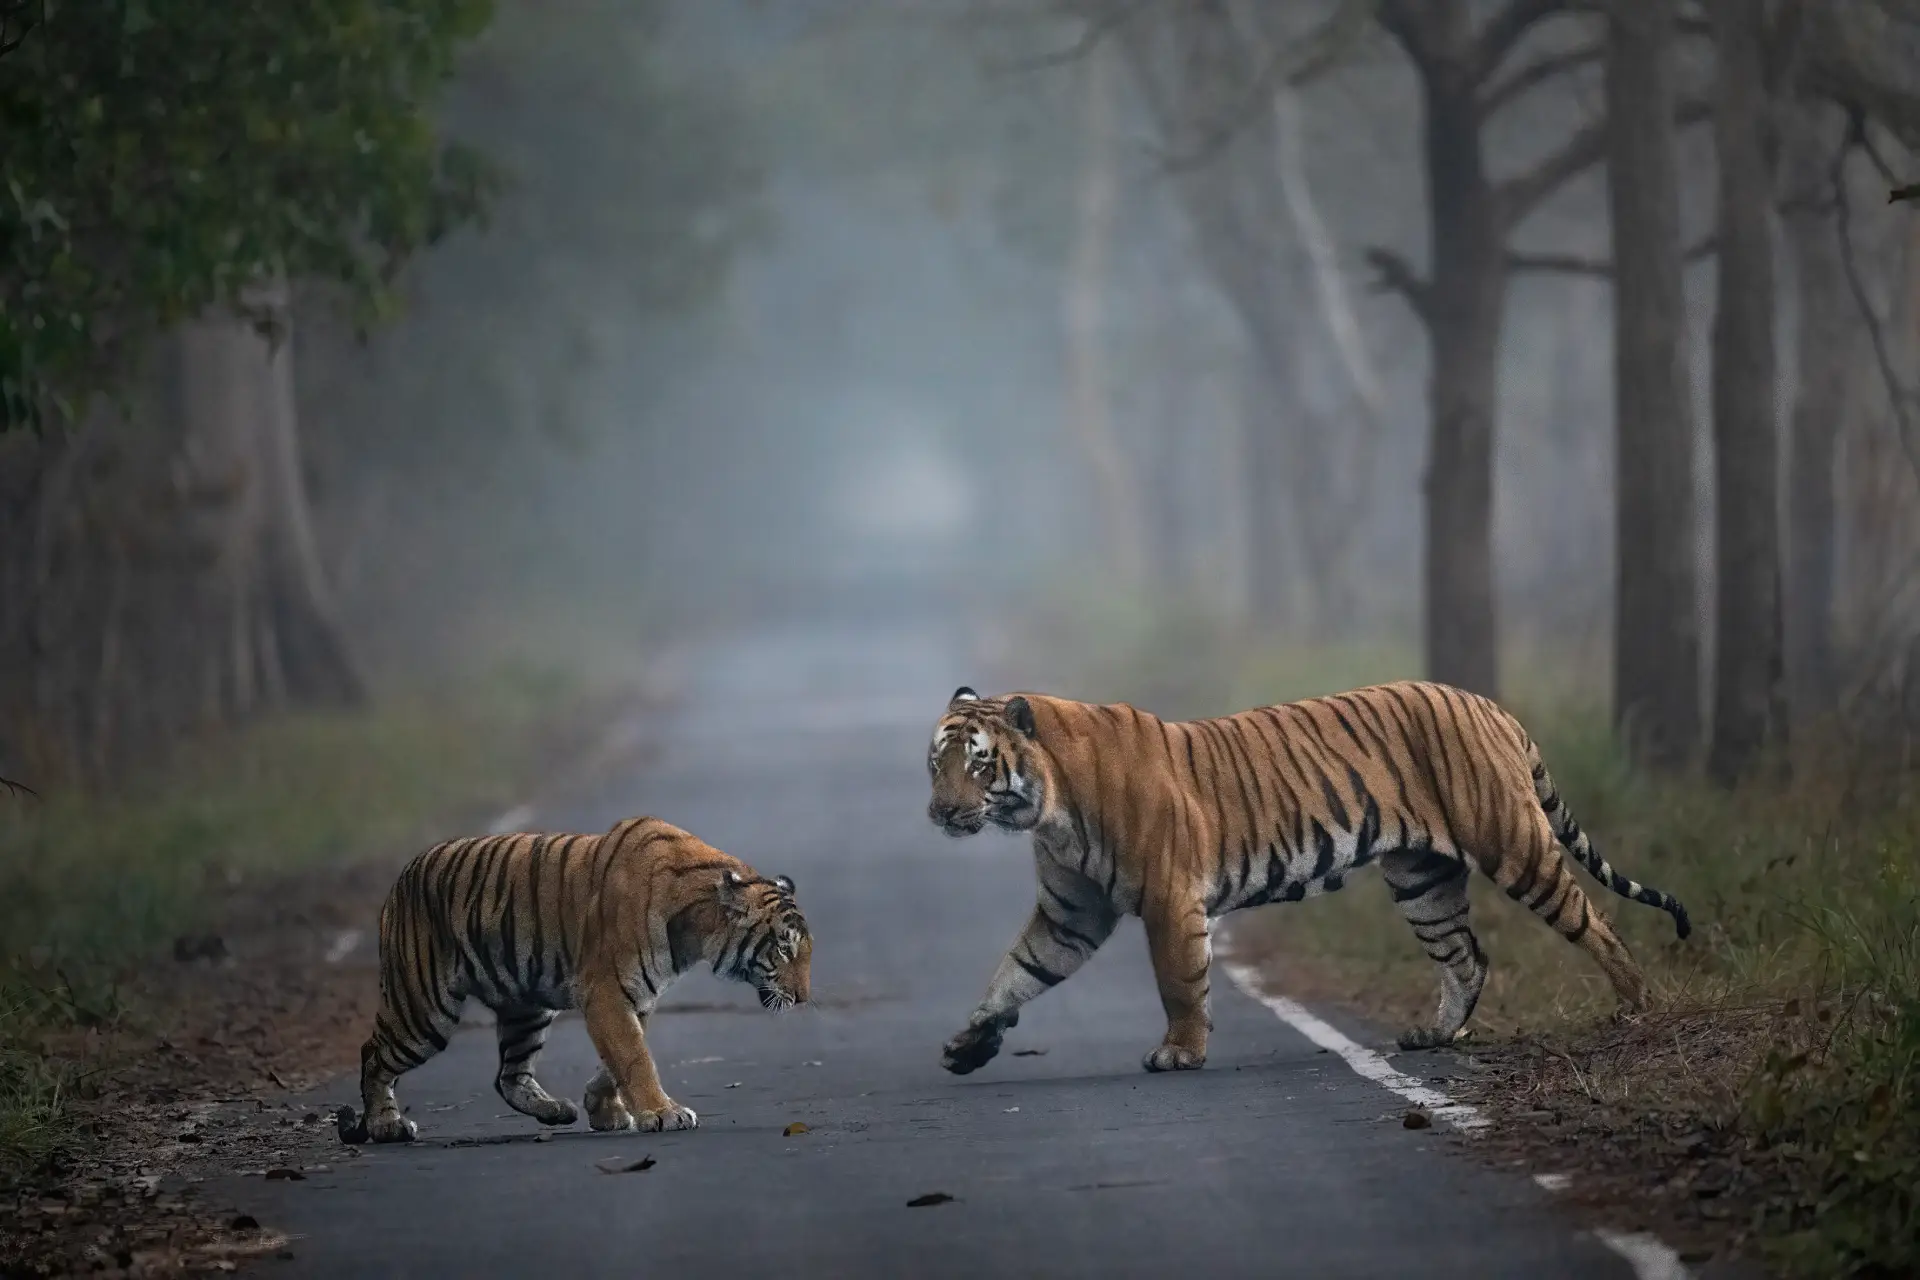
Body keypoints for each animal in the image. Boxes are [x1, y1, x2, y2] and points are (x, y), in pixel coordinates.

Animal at [338, 815, 811, 1144]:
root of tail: (401, 878)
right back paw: (385, 1125)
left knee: (509, 1075)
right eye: (783, 949)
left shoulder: (636, 996)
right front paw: (663, 1113)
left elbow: (618, 1057)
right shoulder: (607, 993)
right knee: (372, 1053)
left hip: (526, 1010)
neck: (696, 927)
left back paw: (555, 1111)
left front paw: (603, 1109)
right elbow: (634, 1055)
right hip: (424, 1011)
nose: (805, 998)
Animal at [924, 682, 1689, 1075]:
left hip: (1512, 842)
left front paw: (1181, 1051)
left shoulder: (1170, 900)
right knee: (1466, 957)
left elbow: (1178, 982)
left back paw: (1636, 1005)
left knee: (1594, 922)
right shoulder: (1071, 913)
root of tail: (1487, 703)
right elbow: (1016, 971)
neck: (1049, 809)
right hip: (1422, 878)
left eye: (979, 763)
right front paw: (970, 1042)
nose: (941, 811)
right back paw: (1434, 1036)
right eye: (937, 763)